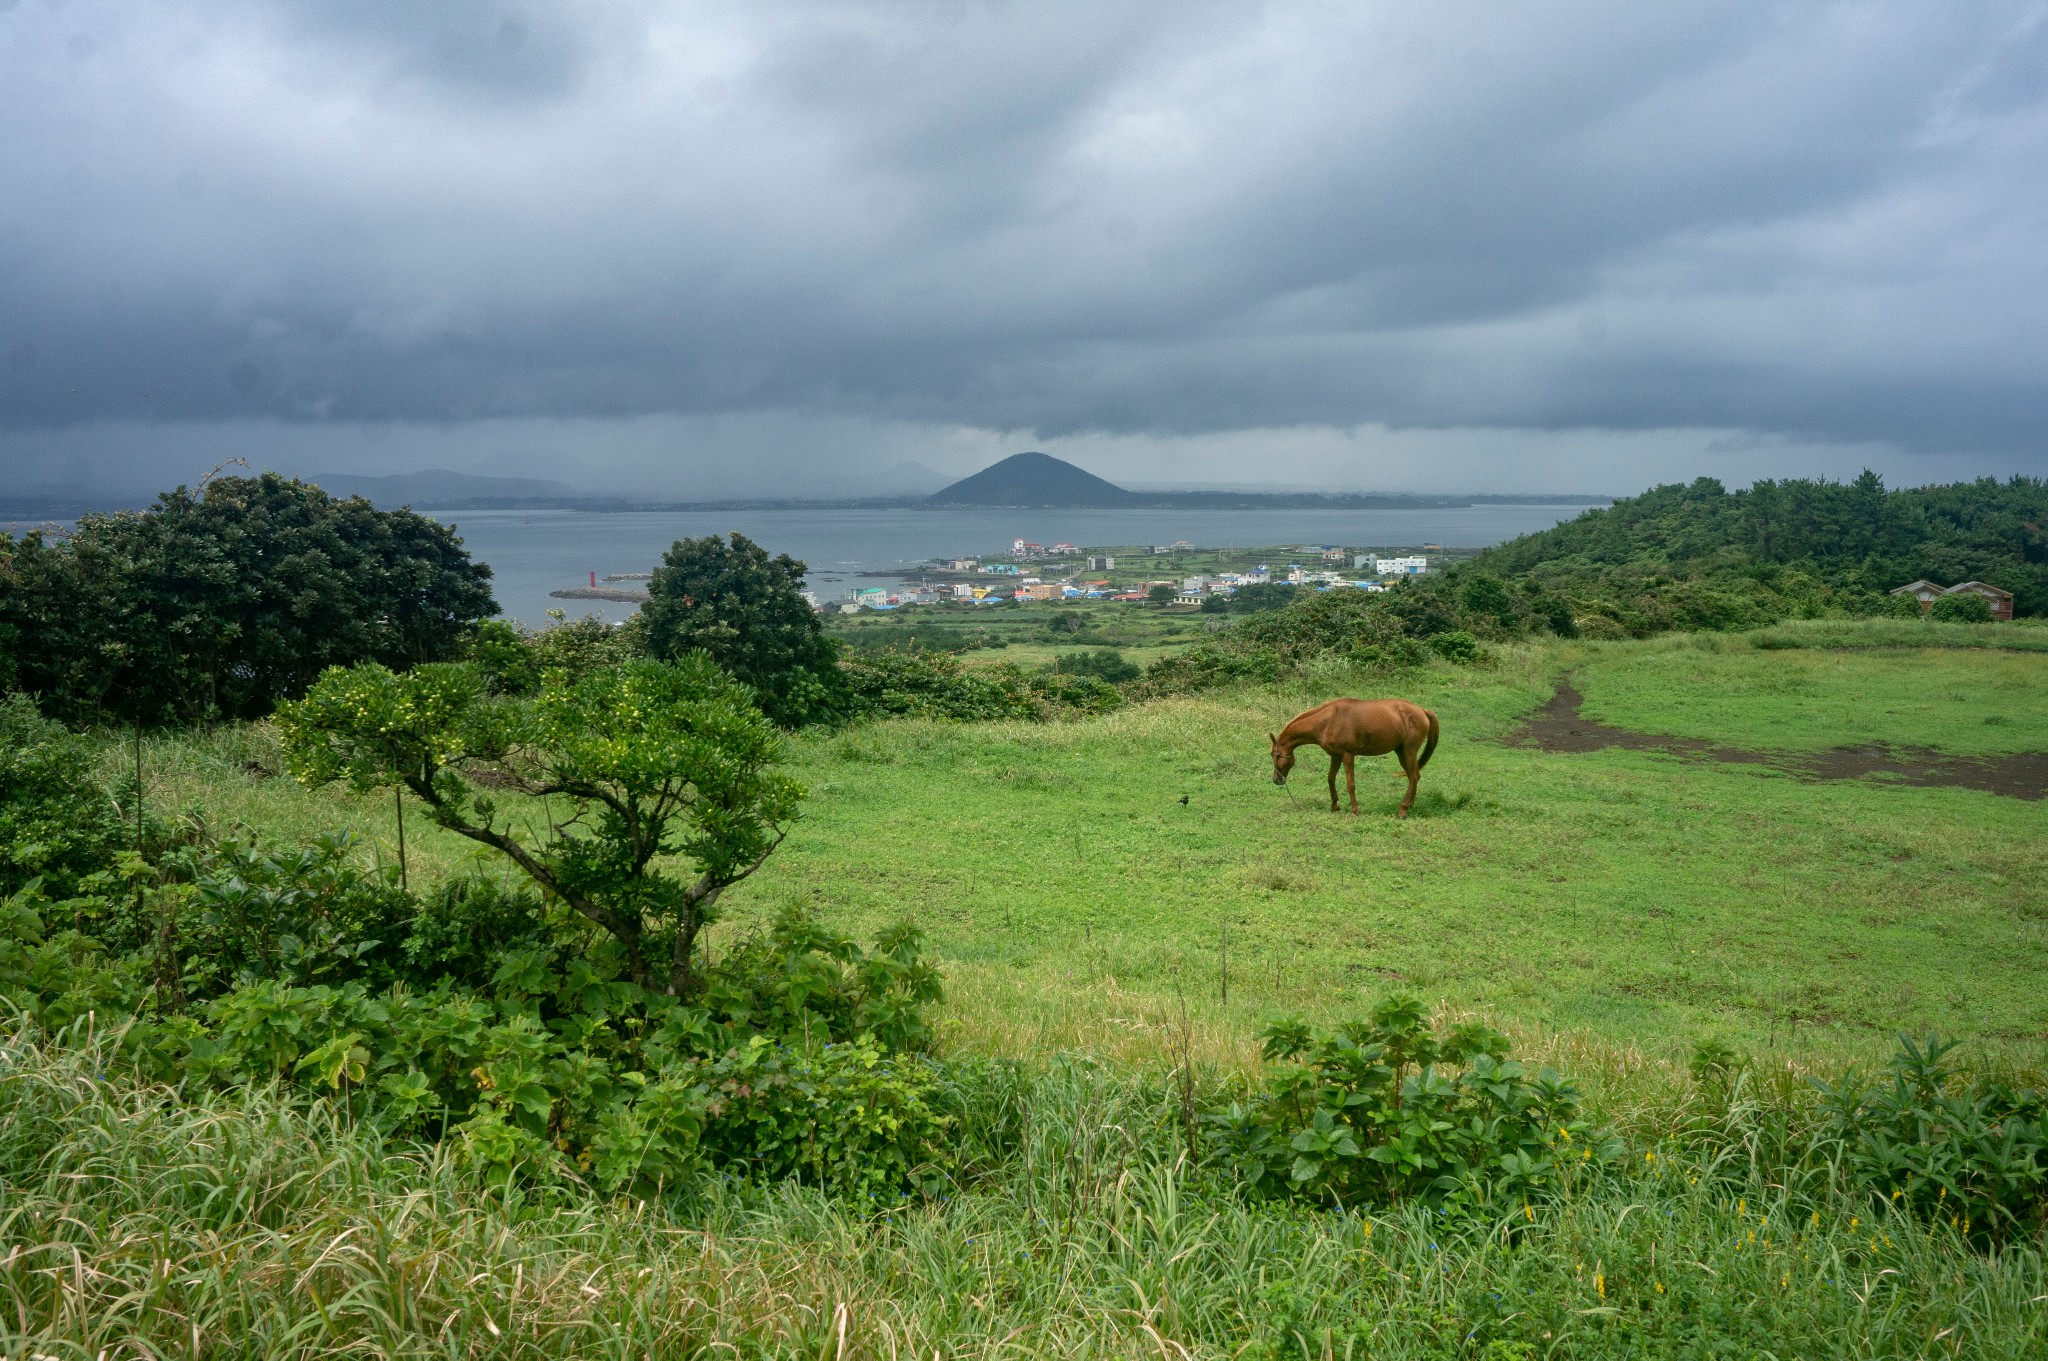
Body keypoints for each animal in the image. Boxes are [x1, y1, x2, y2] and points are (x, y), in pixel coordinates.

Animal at [1261, 699, 1441, 818]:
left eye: (1276, 755)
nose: (1277, 779)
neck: (1329, 720)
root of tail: (1422, 710)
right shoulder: (1335, 756)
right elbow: (1330, 779)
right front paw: (1335, 805)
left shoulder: (1348, 755)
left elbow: (1350, 784)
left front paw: (1355, 810)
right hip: (1401, 752)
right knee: (1414, 777)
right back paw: (1410, 805)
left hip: (1409, 751)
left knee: (1414, 777)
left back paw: (1403, 810)